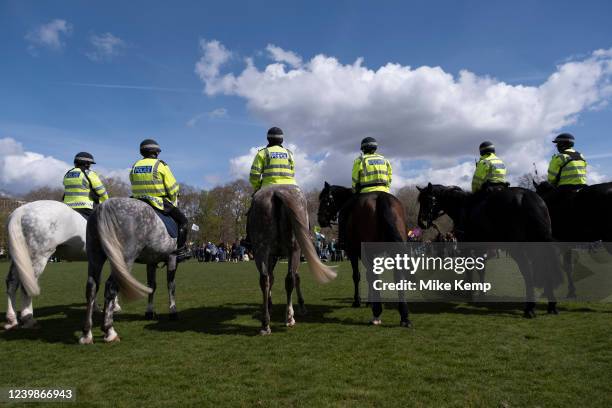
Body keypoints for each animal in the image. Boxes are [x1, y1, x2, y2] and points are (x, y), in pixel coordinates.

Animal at [4, 201, 120, 332]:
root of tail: (20, 211)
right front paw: (115, 305)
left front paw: (96, 307)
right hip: (37, 258)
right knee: (25, 287)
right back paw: (28, 319)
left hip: (19, 258)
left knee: (12, 283)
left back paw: (11, 320)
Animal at [79, 198, 180, 344]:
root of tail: (104, 207)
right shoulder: (172, 258)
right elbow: (171, 285)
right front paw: (173, 311)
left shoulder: (151, 261)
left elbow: (151, 286)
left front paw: (149, 312)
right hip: (125, 259)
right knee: (110, 286)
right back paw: (109, 331)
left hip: (95, 256)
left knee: (92, 287)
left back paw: (87, 334)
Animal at [246, 185, 338, 334]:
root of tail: (275, 192)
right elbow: (296, 278)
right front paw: (301, 306)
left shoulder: (272, 256)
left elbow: (272, 278)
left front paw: (270, 304)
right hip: (294, 249)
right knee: (288, 279)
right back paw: (289, 317)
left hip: (261, 249)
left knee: (265, 279)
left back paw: (266, 323)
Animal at [316, 182, 412, 328]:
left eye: (325, 200)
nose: (320, 219)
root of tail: (380, 198)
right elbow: (368, 277)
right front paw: (369, 300)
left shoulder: (354, 253)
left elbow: (358, 276)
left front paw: (358, 301)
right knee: (397, 276)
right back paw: (404, 316)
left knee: (374, 275)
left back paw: (377, 313)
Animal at [418, 183, 560, 318]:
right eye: (420, 201)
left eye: (428, 200)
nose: (421, 223)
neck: (463, 207)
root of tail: (527, 196)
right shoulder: (480, 249)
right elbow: (482, 270)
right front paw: (481, 293)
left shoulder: (467, 249)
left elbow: (470, 271)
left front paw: (470, 295)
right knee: (546, 268)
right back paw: (551, 305)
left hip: (518, 249)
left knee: (528, 272)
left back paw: (529, 308)